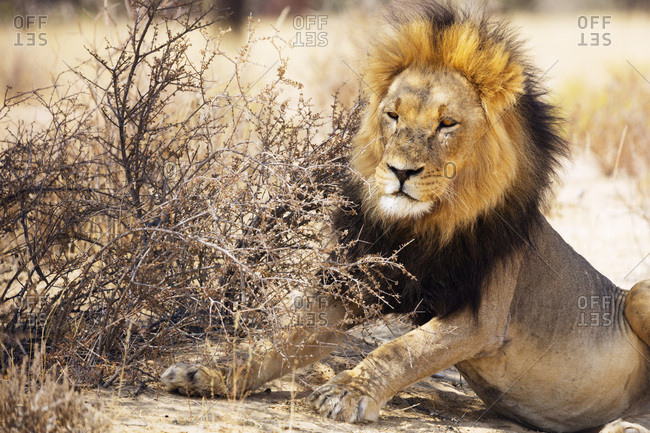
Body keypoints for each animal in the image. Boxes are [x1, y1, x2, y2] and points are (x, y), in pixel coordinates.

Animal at [161, 3, 650, 432]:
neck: (422, 226)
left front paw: (347, 392)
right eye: (393, 116)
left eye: (447, 124)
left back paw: (624, 425)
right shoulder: (352, 284)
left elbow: (401, 350)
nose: (399, 171)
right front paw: (208, 372)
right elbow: (277, 339)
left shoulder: (482, 317)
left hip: (637, 294)